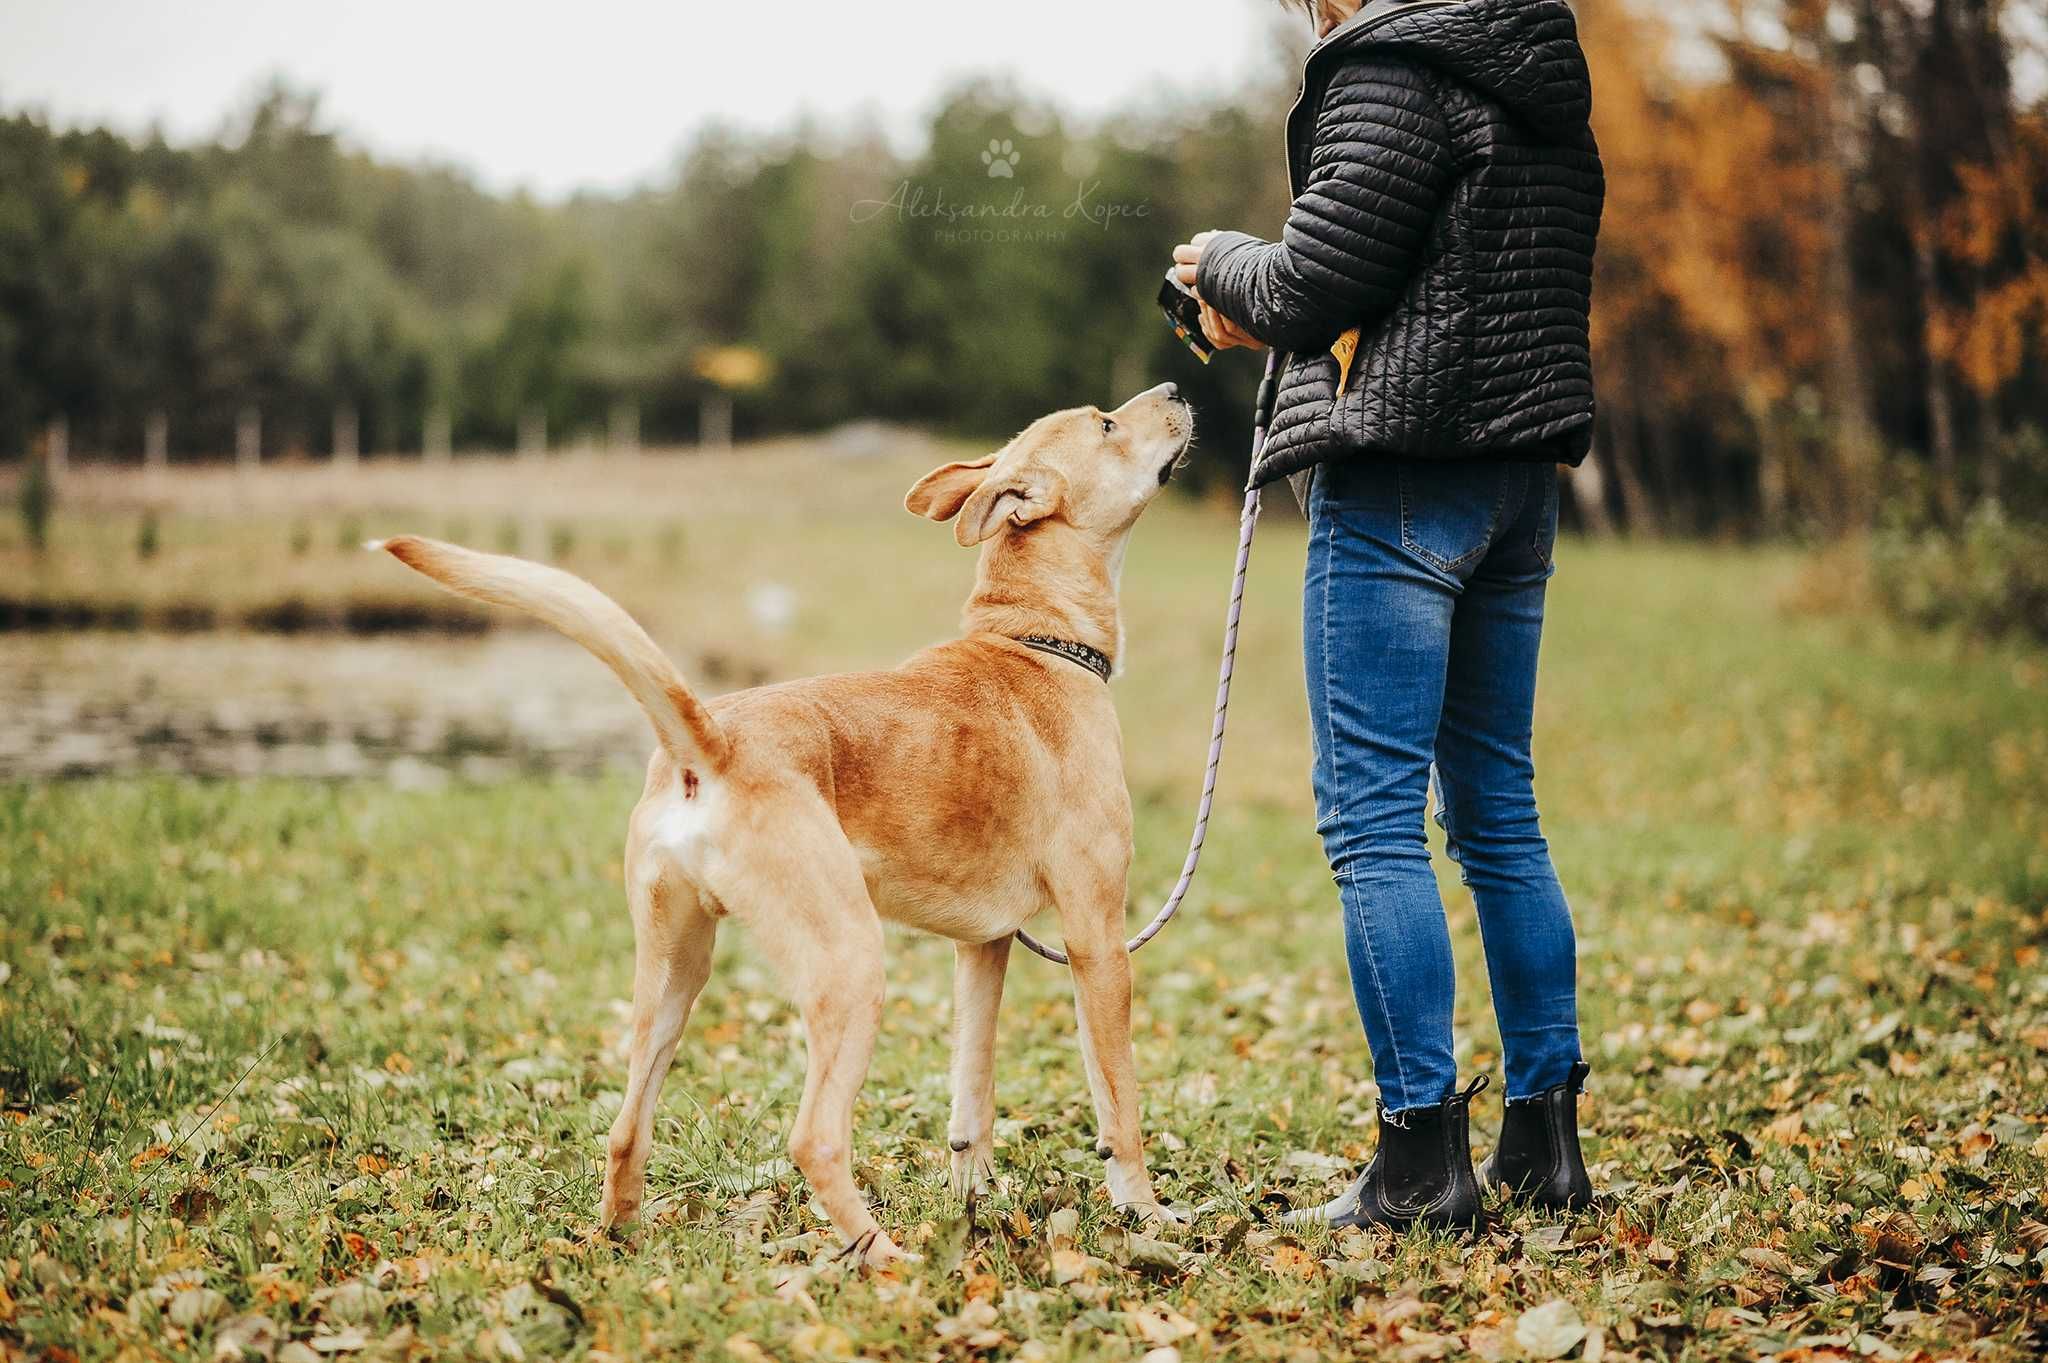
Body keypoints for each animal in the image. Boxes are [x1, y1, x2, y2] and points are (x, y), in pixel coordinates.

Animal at [376, 376, 1196, 1260]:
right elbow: (1120, 1104)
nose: (1177, 386)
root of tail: (710, 741)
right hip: (850, 964)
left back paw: (629, 1238)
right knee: (814, 1138)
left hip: (673, 975)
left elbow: (970, 1101)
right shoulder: (1097, 938)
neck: (1033, 640)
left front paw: (976, 1204)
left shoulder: (983, 947)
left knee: (626, 1128)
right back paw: (885, 1257)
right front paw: (1147, 1214)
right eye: (1107, 424)